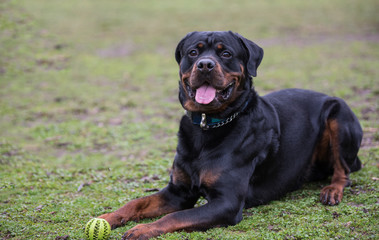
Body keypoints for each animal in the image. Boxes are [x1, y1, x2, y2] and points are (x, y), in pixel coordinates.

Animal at [99, 32, 364, 240]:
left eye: (226, 54)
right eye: (193, 52)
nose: (205, 65)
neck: (206, 126)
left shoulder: (226, 203)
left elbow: (177, 216)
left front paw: (142, 229)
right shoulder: (178, 192)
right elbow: (136, 202)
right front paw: (108, 217)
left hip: (339, 114)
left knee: (343, 170)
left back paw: (332, 190)